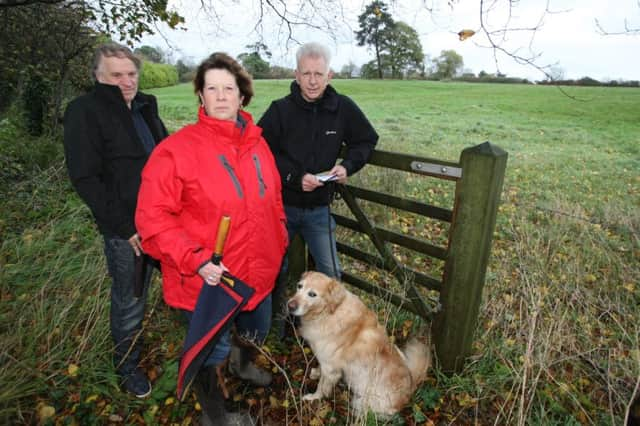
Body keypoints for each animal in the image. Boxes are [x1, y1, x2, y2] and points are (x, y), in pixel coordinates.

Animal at [288, 272, 432, 416]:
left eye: (312, 294)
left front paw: (313, 398)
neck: (330, 312)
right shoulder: (325, 359)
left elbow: (322, 387)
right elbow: (320, 368)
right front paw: (317, 372)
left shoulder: (330, 368)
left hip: (360, 403)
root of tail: (410, 389)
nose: (290, 305)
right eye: (299, 286)